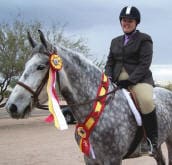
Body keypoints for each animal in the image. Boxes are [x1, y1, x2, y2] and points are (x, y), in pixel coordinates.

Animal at [5, 30, 172, 164]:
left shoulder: (113, 159)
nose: (11, 107)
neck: (101, 109)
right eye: (25, 65)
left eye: (40, 67)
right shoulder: (90, 158)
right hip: (157, 148)